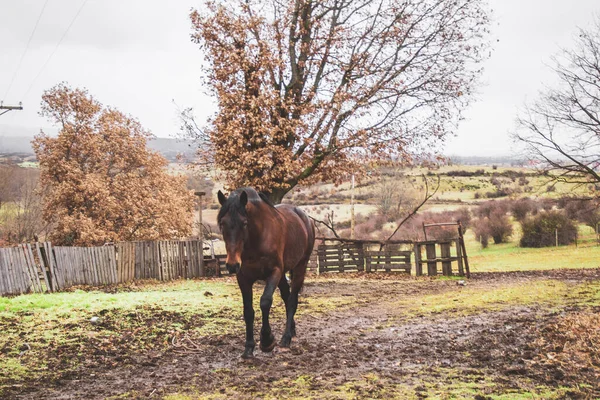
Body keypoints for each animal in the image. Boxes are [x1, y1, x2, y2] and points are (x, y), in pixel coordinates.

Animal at [218, 188, 316, 360]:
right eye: (223, 223)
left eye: (244, 223)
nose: (232, 265)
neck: (257, 239)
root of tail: (305, 219)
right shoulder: (243, 278)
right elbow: (248, 311)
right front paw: (248, 348)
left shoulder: (274, 272)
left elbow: (265, 302)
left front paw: (267, 341)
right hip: (283, 275)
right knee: (286, 297)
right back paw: (292, 330)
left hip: (300, 268)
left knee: (292, 300)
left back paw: (286, 338)